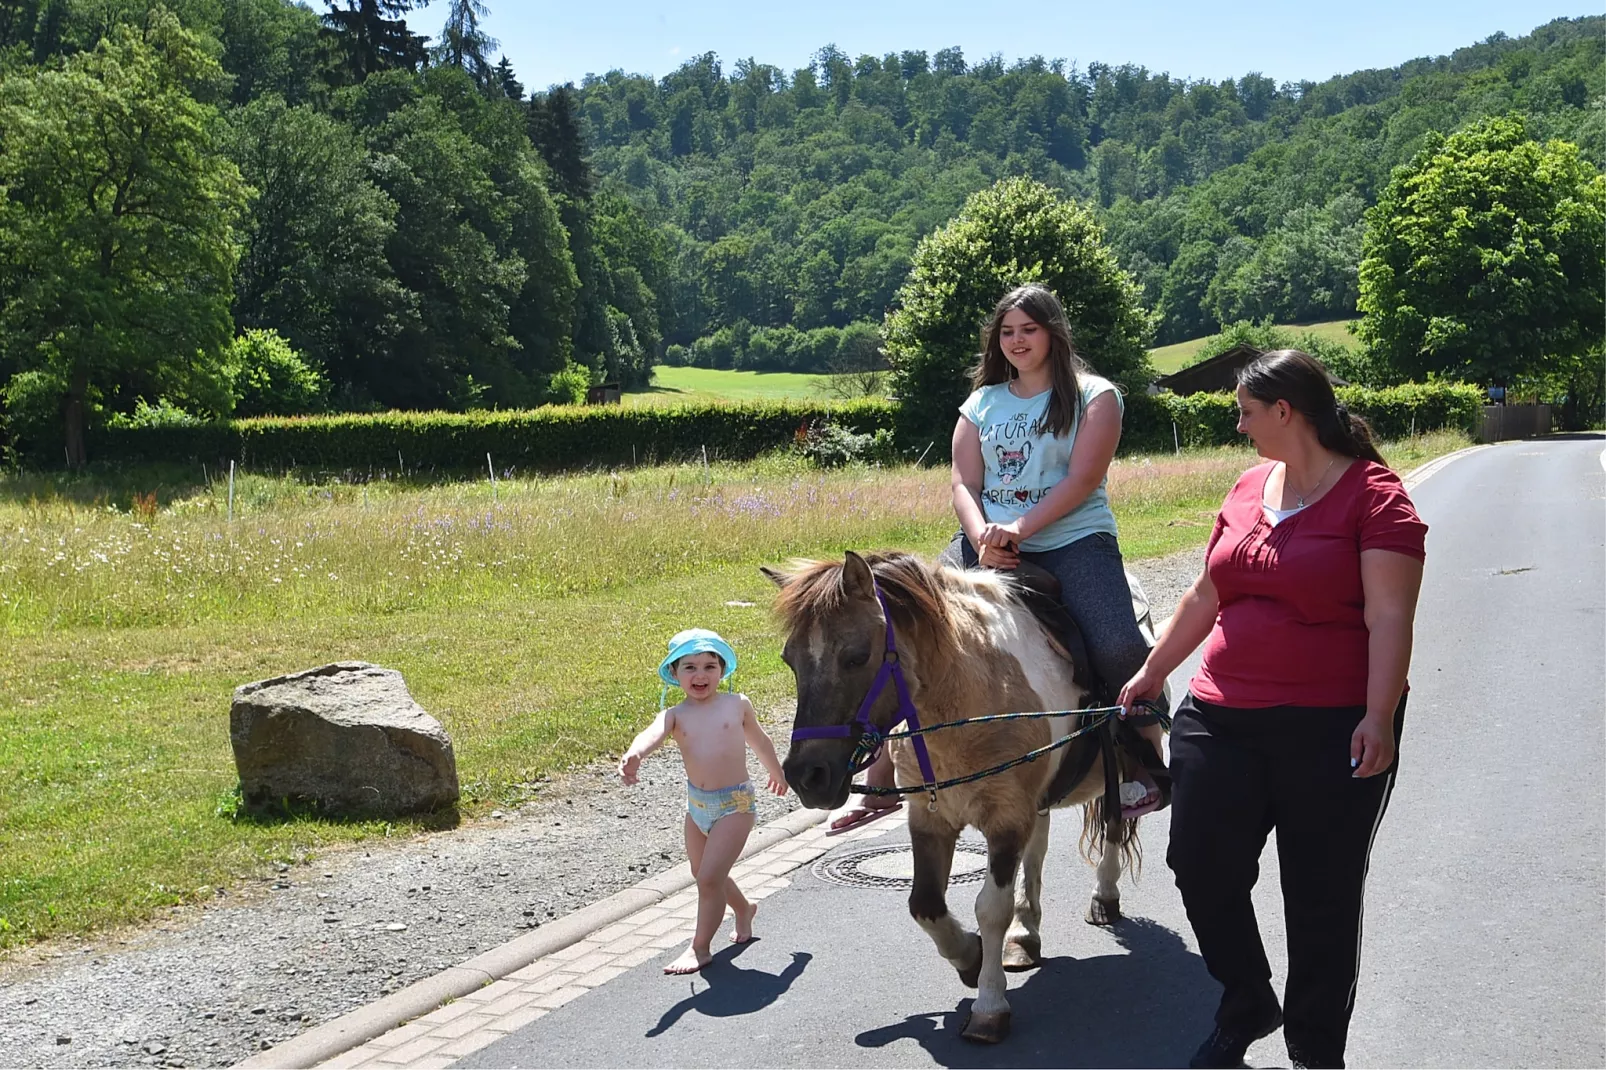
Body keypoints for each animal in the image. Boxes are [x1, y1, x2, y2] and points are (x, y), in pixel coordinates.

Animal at [767, 549, 1156, 1041]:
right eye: (789, 660)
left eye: (856, 657)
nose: (807, 776)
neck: (972, 696)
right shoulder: (930, 818)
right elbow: (925, 905)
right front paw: (970, 958)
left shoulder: (1006, 819)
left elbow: (990, 908)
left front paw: (989, 1006)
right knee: (1038, 853)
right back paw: (1025, 936)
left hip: (1115, 770)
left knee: (1114, 824)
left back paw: (1104, 895)